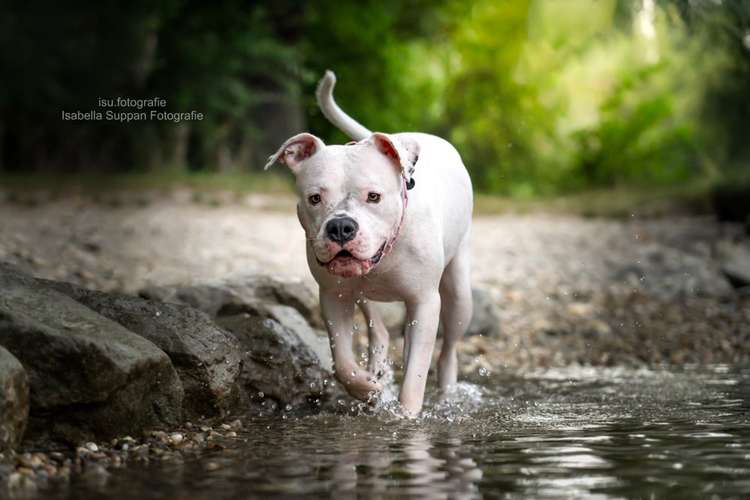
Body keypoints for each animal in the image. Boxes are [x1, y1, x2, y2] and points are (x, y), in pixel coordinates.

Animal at [268, 69, 472, 414]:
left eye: (373, 196)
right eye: (314, 198)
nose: (340, 227)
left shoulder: (424, 304)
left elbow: (415, 375)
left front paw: (406, 414)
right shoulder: (333, 297)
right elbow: (343, 365)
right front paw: (369, 390)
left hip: (458, 294)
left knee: (447, 351)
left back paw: (446, 392)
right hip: (361, 293)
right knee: (379, 330)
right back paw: (377, 372)